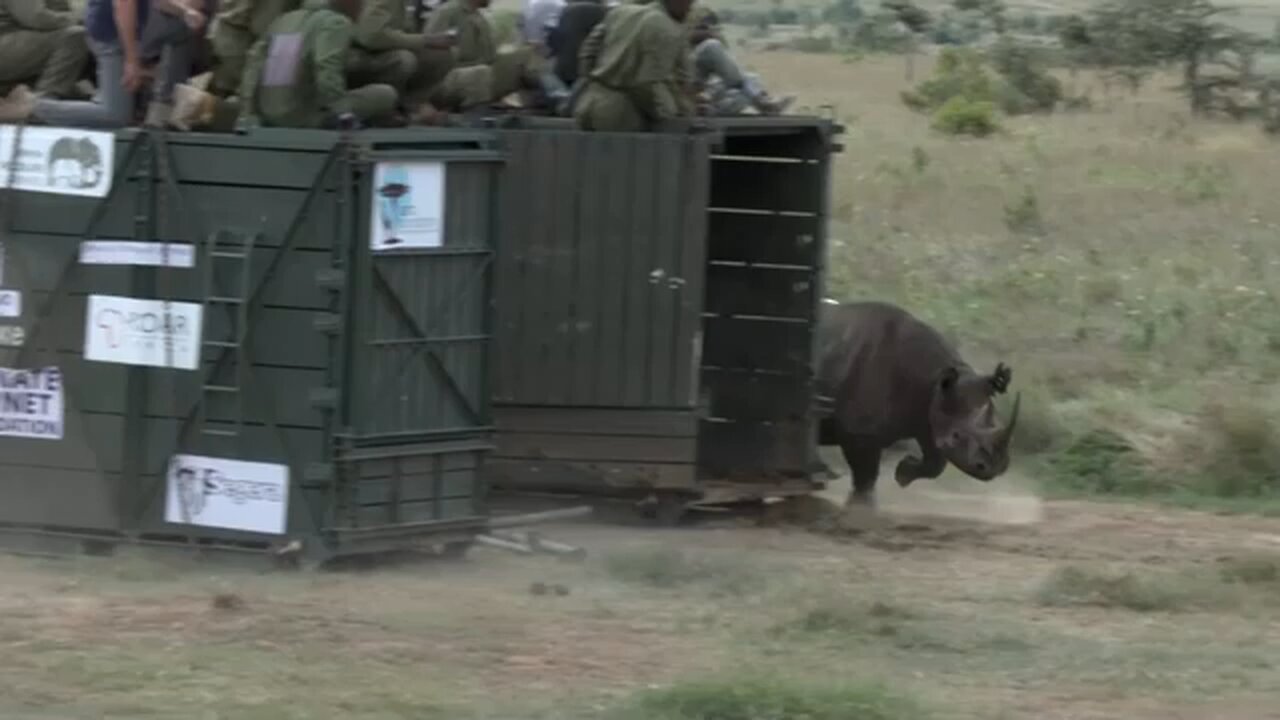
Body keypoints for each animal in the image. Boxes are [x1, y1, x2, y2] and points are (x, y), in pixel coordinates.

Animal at [815, 300, 1020, 507]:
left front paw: (903, 475)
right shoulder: (859, 432)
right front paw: (861, 506)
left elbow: (936, 463)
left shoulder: (927, 415)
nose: (995, 468)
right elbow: (866, 477)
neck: (935, 378)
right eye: (957, 436)